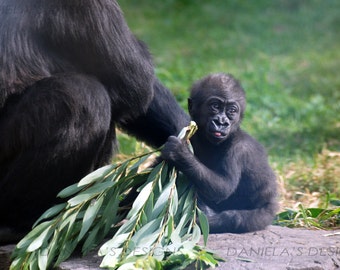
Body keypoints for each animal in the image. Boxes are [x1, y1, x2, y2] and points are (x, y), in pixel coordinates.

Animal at [163, 73, 278, 233]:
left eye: (232, 111)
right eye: (215, 106)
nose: (221, 122)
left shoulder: (240, 150)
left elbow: (223, 186)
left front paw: (179, 153)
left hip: (266, 213)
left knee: (234, 218)